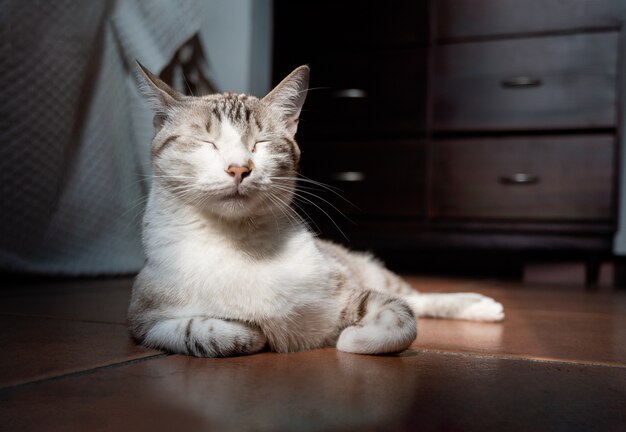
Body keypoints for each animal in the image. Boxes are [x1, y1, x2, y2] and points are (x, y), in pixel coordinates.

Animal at [128, 61, 502, 358]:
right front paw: (245, 333)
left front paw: (352, 339)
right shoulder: (142, 319)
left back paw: (481, 305)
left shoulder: (350, 295)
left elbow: (401, 319)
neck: (237, 242)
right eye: (207, 143)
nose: (239, 169)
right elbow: (192, 332)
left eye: (261, 144)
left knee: (413, 297)